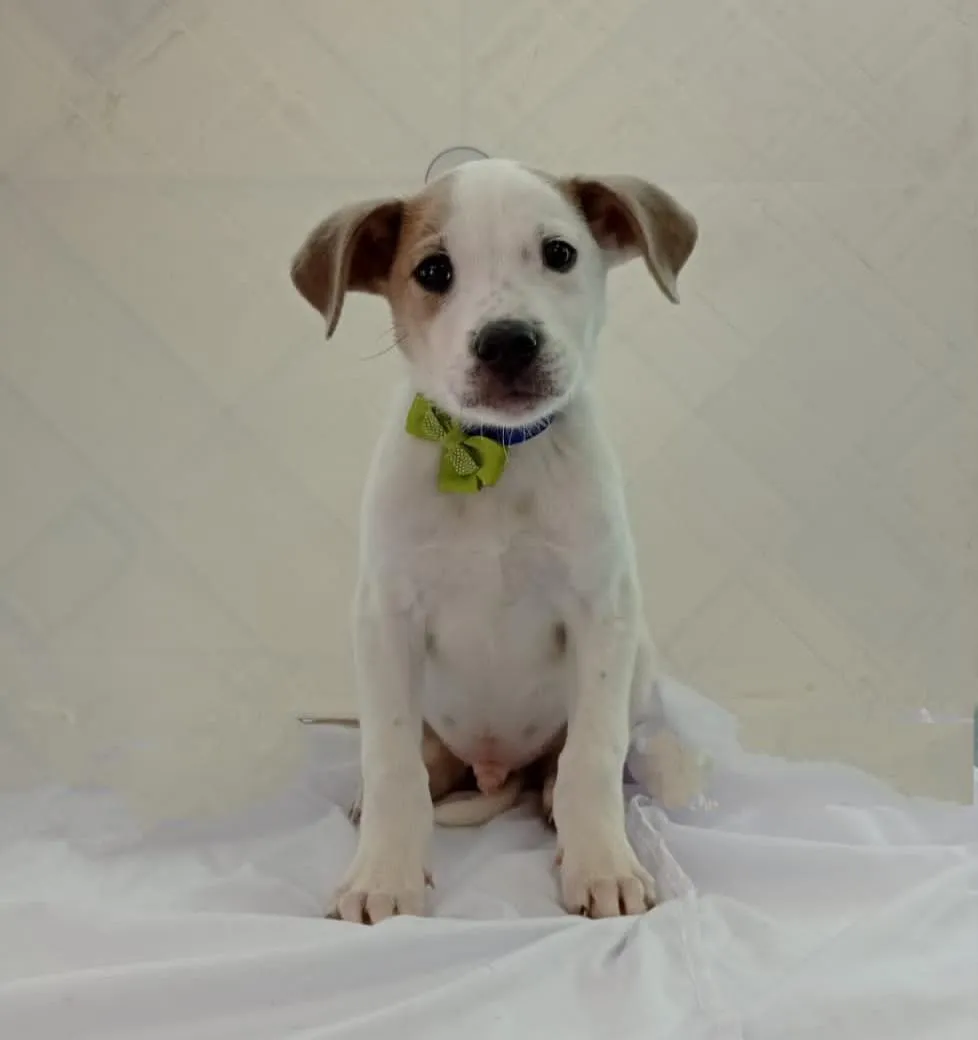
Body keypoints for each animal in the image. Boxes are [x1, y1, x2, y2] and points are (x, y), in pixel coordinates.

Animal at [291, 158, 698, 923]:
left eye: (560, 254)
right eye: (433, 271)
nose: (508, 341)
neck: (489, 456)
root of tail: (495, 765)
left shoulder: (603, 609)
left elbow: (593, 755)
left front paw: (602, 863)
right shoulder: (386, 616)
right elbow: (390, 762)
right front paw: (384, 874)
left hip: (638, 658)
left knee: (565, 763)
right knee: (422, 763)